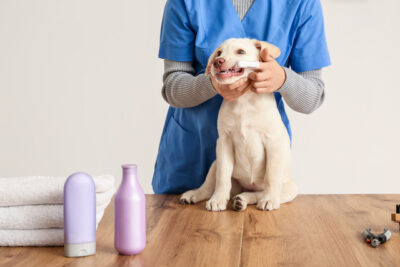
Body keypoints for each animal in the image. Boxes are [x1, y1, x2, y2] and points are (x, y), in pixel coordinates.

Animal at [179, 38, 296, 213]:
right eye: (219, 53)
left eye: (240, 51)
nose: (217, 62)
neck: (244, 99)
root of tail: (247, 186)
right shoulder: (224, 141)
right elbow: (222, 177)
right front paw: (218, 200)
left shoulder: (273, 142)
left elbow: (271, 176)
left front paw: (269, 200)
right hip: (215, 164)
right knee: (208, 187)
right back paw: (195, 195)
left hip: (290, 188)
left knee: (257, 194)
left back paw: (244, 200)